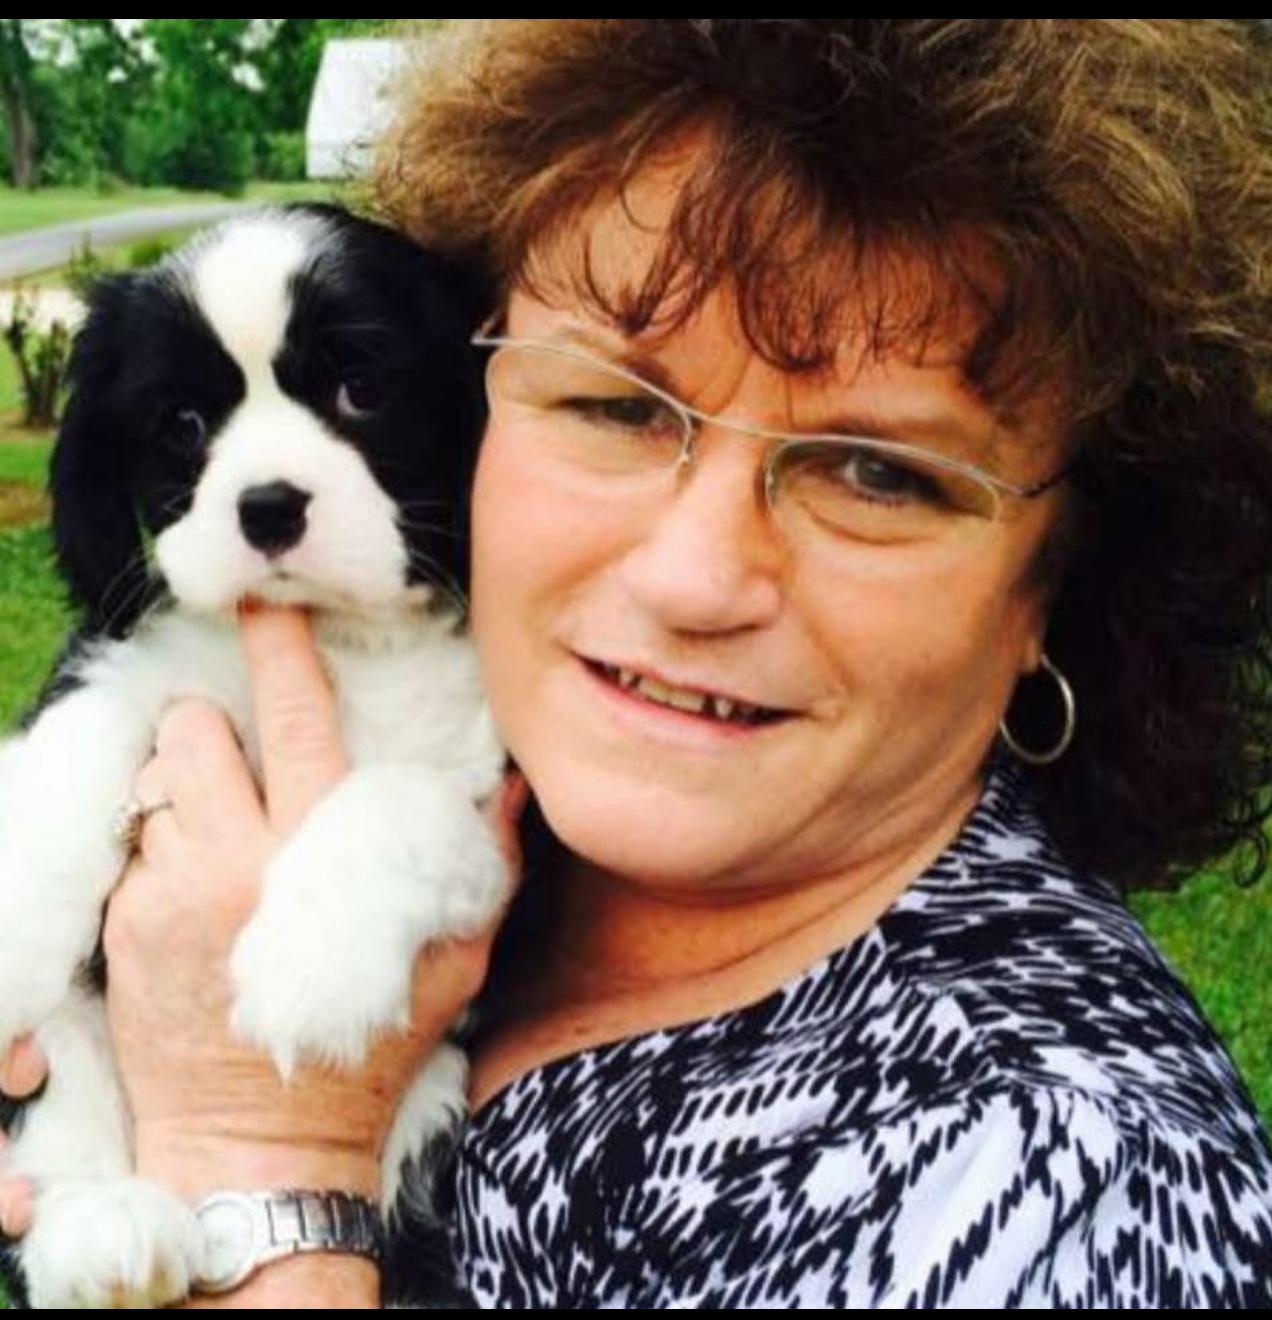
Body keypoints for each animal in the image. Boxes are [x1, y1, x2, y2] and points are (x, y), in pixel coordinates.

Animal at [0, 204, 506, 1307]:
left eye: (363, 389)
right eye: (184, 424)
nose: (268, 506)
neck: (328, 638)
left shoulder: (495, 800)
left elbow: (398, 796)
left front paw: (312, 968)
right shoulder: (131, 657)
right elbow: (79, 742)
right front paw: (8, 934)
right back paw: (104, 1232)